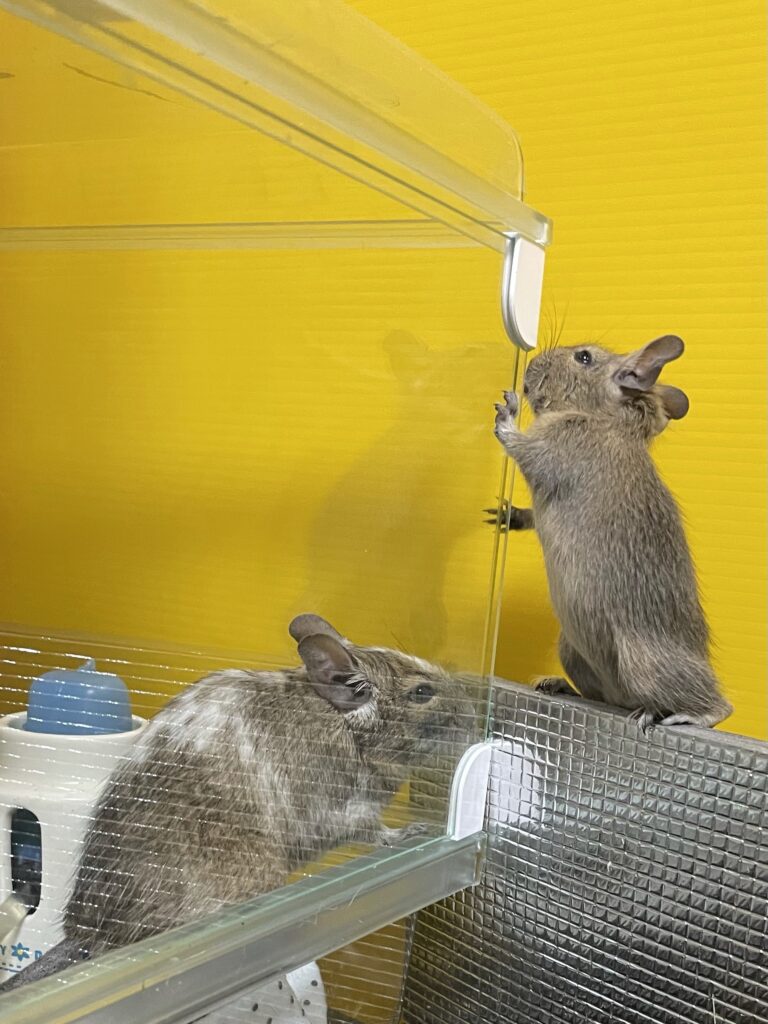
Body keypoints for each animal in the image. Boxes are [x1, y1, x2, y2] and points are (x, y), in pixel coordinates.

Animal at [1, 613, 476, 992]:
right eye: (422, 692)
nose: (475, 713)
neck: (344, 722)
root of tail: (91, 936)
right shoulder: (347, 809)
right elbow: (378, 833)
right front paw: (410, 830)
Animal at [492, 335, 732, 732]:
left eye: (584, 358)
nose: (531, 367)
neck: (604, 417)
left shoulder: (551, 448)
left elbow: (518, 443)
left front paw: (507, 411)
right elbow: (530, 516)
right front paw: (506, 515)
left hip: (643, 662)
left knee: (720, 705)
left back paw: (688, 715)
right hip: (572, 651)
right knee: (604, 697)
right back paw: (560, 685)